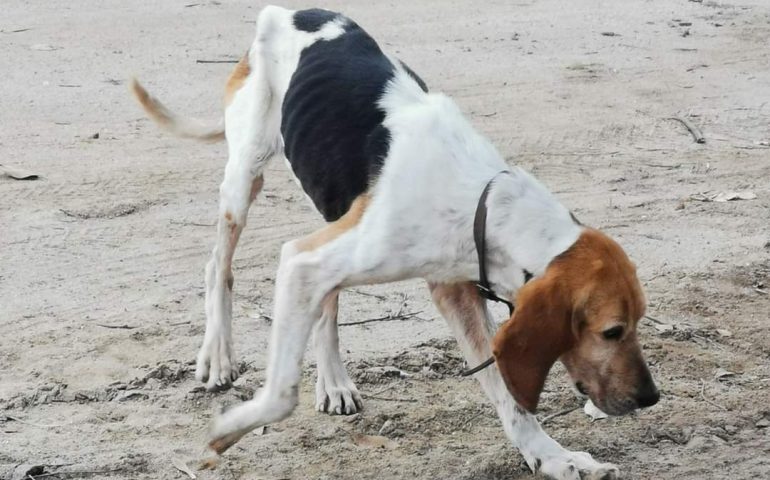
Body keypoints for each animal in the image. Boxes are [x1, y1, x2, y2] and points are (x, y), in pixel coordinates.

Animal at [130, 5, 656, 478]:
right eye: (612, 331)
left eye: (636, 323)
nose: (651, 397)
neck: (482, 198)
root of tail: (289, 11)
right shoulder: (302, 261)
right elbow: (280, 396)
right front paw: (227, 430)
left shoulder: (453, 289)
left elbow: (508, 394)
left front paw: (553, 458)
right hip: (244, 181)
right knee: (219, 264)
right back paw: (218, 356)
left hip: (328, 209)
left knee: (326, 303)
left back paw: (334, 381)